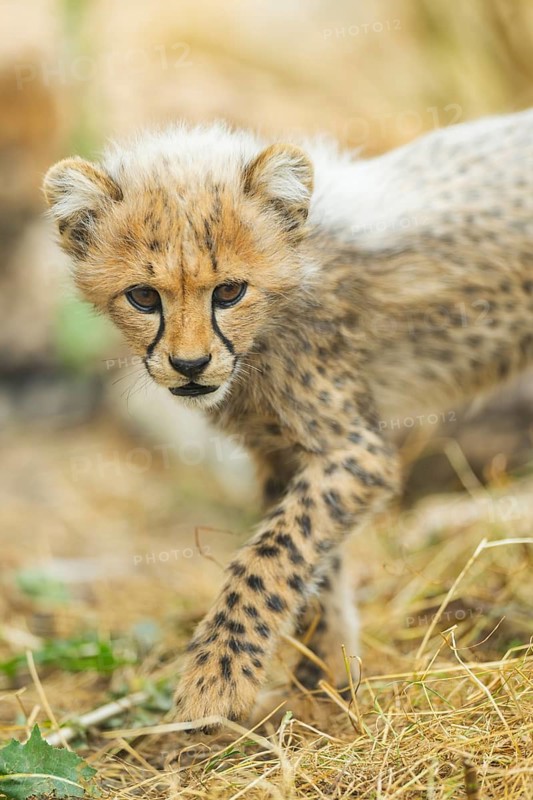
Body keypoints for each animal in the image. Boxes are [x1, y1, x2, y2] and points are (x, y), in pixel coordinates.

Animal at [43, 109, 533, 727]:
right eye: (143, 297)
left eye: (229, 291)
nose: (190, 365)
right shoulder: (284, 455)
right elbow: (314, 564)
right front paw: (324, 682)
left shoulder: (354, 452)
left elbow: (271, 554)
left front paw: (216, 681)